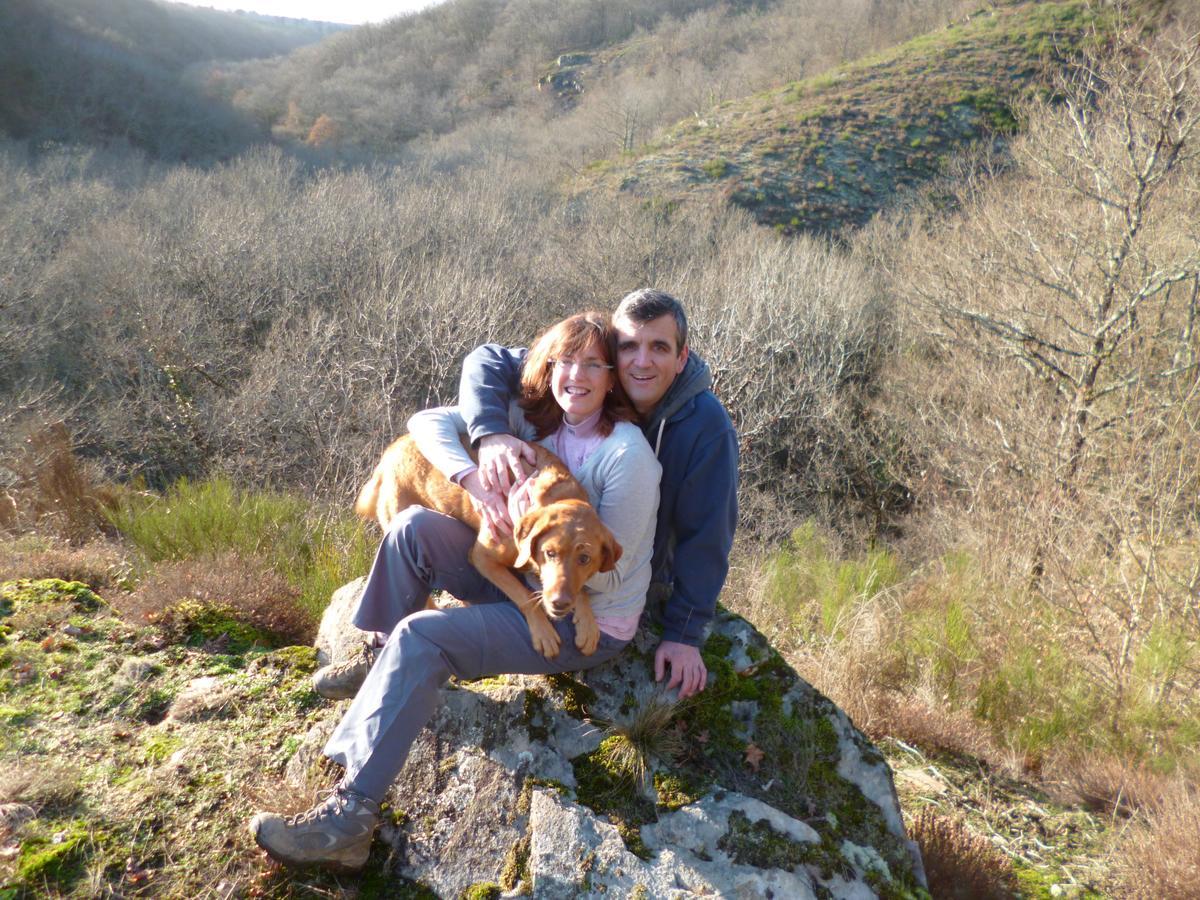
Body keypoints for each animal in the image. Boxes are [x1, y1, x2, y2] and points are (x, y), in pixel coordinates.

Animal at [352, 434, 619, 657]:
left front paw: (587, 623)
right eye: (549, 553)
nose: (559, 603)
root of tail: (392, 449)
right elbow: (524, 595)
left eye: (584, 559)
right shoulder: (482, 557)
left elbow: (582, 589)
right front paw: (543, 631)